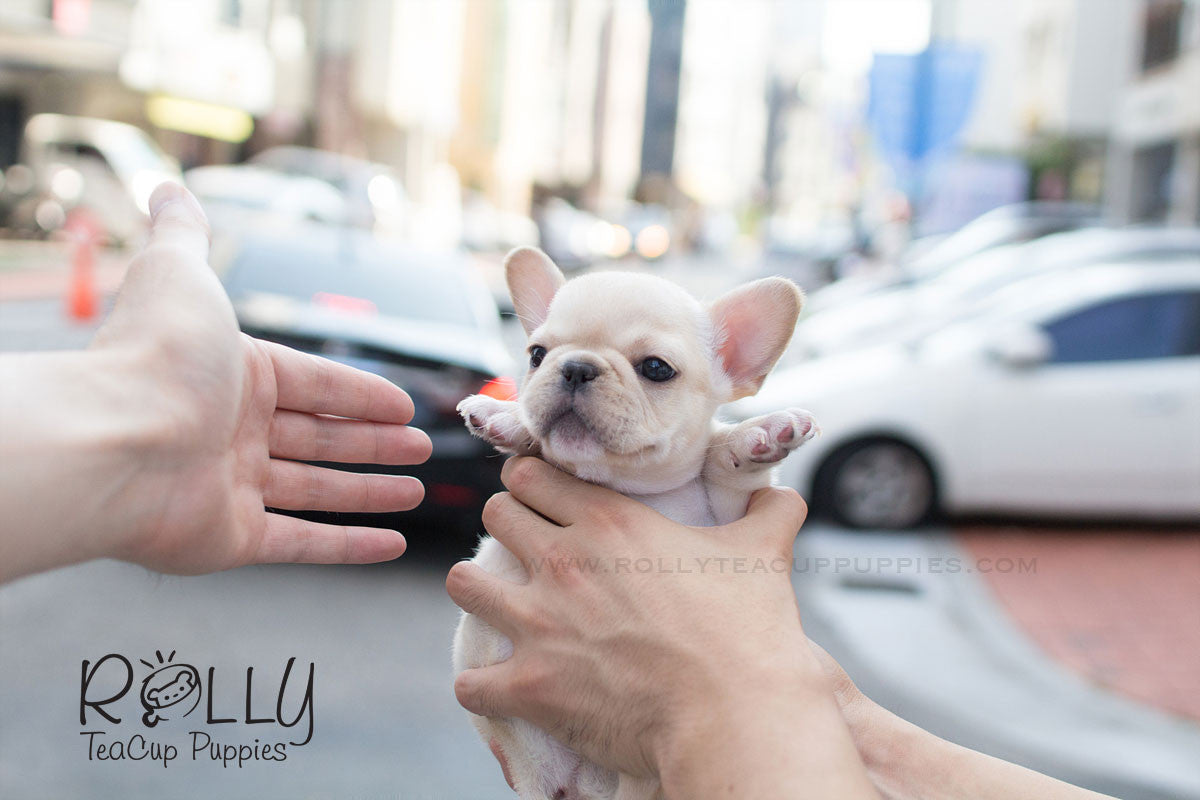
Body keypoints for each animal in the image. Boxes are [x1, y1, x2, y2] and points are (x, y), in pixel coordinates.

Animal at [451, 248, 816, 800]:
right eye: (536, 354)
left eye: (656, 368)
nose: (576, 366)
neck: (628, 487)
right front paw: (505, 418)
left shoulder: (726, 517)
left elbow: (726, 470)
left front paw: (758, 433)